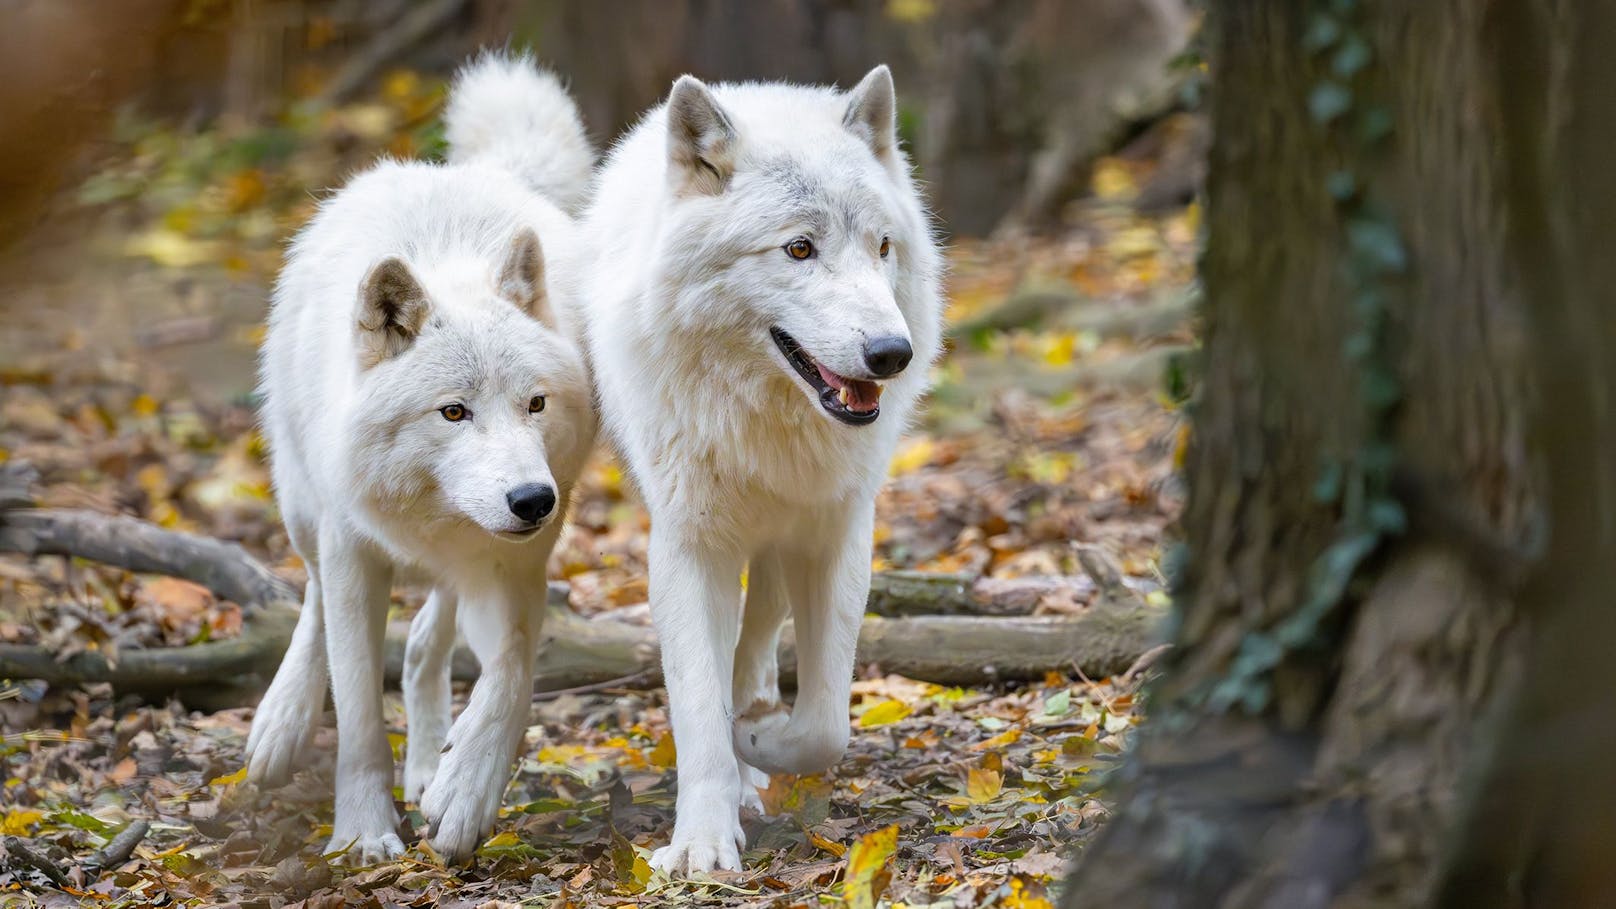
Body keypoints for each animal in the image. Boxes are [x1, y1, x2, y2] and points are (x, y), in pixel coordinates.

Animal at [248, 52, 604, 860]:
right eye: (453, 411)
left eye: (536, 404)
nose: (533, 501)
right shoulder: (353, 552)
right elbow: (356, 714)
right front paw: (363, 832)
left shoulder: (519, 561)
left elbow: (512, 672)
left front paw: (464, 791)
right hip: (303, 507)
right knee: (313, 603)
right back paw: (280, 723)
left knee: (421, 645)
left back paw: (429, 760)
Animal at [581, 65, 943, 873]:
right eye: (799, 249)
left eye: (881, 247)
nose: (892, 354)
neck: (770, 421)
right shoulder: (686, 546)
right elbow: (695, 701)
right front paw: (702, 842)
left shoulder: (839, 534)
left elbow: (825, 722)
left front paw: (761, 737)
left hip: (780, 547)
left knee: (757, 640)